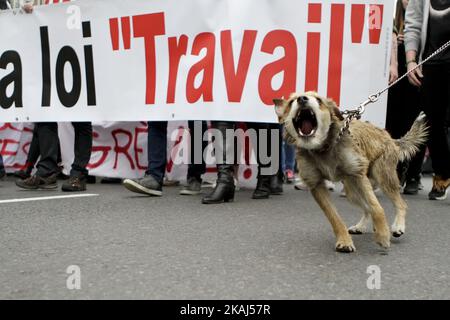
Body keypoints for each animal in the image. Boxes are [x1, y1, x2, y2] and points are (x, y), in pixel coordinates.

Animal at [274, 92, 428, 252]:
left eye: (319, 100)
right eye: (291, 102)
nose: (302, 99)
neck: (323, 148)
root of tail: (390, 137)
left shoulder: (357, 174)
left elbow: (377, 208)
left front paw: (383, 235)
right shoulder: (317, 185)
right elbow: (335, 218)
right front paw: (344, 241)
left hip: (383, 178)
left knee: (399, 203)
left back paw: (397, 227)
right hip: (352, 191)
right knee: (367, 208)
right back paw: (361, 227)